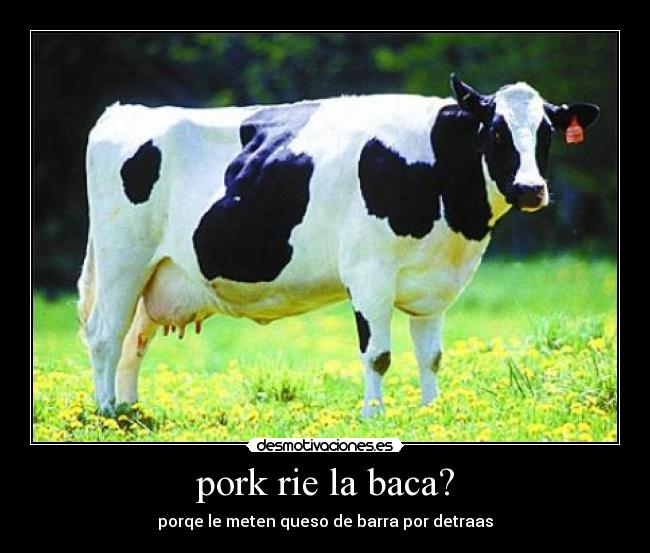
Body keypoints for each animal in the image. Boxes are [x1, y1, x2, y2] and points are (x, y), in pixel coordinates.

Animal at [78, 74, 600, 417]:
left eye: (546, 133)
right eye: (495, 131)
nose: (531, 189)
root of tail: (124, 111)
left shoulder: (434, 285)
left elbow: (431, 355)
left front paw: (432, 412)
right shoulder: (369, 274)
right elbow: (379, 354)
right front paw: (373, 417)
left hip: (157, 273)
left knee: (134, 339)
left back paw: (131, 411)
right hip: (122, 259)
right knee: (105, 334)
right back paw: (106, 412)